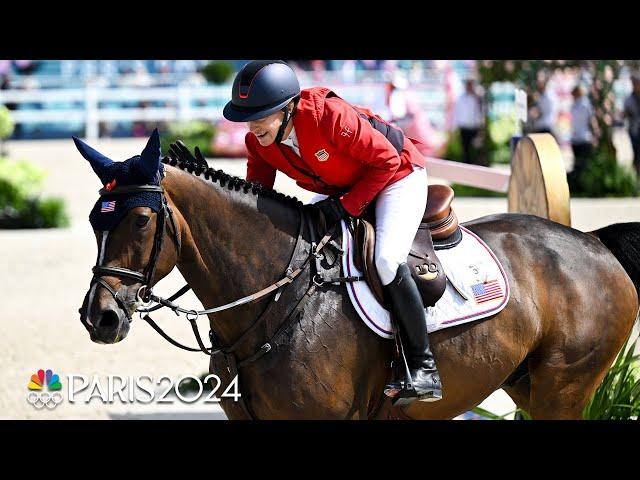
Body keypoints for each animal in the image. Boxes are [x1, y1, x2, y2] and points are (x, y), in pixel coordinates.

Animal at [79, 132, 640, 420]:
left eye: (141, 219)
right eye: (92, 220)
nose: (98, 318)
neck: (274, 303)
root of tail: (594, 243)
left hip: (563, 389)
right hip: (526, 384)